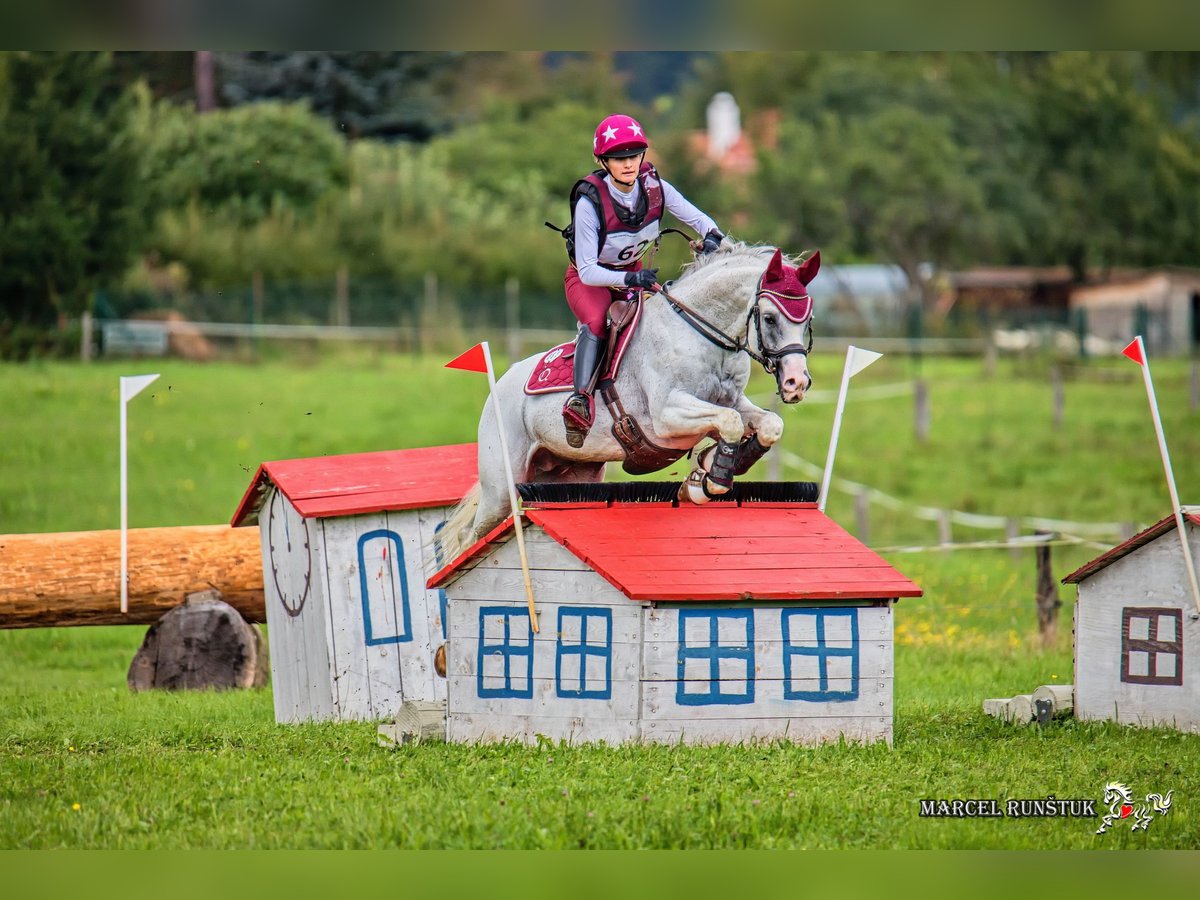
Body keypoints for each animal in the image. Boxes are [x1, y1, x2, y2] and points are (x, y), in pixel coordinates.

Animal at [436, 241, 820, 564]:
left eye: (807, 322)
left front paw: (710, 466)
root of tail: (500, 383)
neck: (701, 335)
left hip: (572, 475)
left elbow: (767, 424)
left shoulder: (733, 401)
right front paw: (709, 479)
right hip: (501, 487)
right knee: (471, 535)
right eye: (769, 318)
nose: (796, 383)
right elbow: (729, 422)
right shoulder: (666, 418)